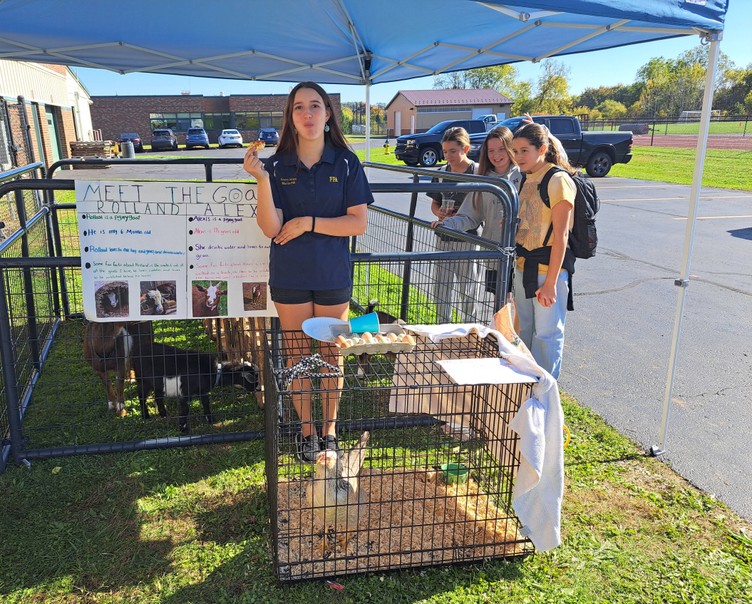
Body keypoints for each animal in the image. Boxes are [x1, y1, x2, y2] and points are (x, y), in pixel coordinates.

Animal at [134, 342, 262, 432]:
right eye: (253, 380)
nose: (259, 389)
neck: (213, 372)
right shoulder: (186, 392)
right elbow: (185, 409)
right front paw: (183, 429)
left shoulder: (203, 391)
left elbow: (206, 404)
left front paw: (211, 420)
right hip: (144, 381)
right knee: (141, 396)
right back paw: (146, 416)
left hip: (158, 384)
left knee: (157, 397)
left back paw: (164, 415)